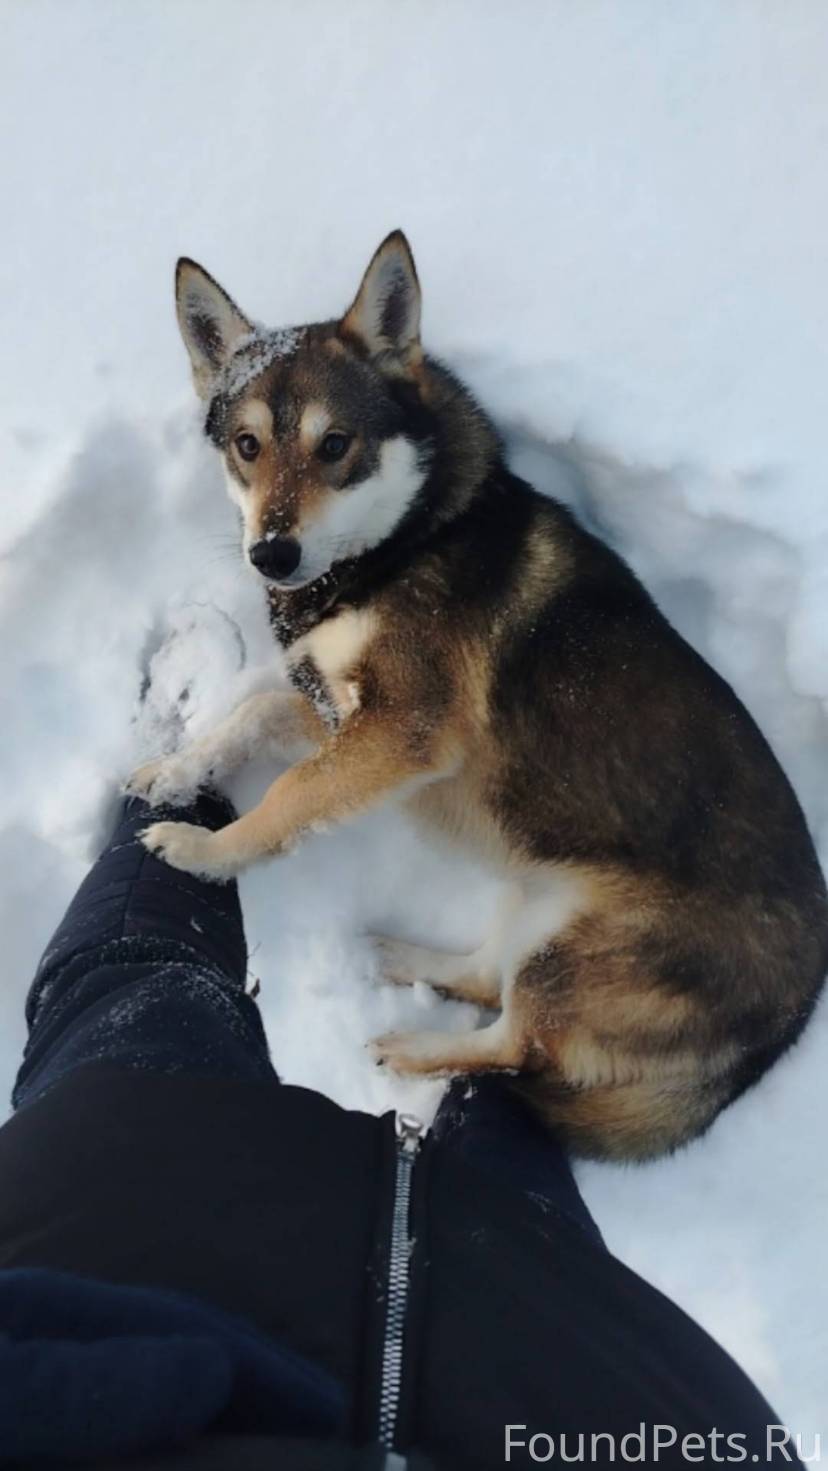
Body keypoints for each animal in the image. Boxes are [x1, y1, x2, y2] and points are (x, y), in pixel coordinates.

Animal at [128, 230, 828, 1161]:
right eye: (247, 445)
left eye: (336, 443)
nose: (271, 555)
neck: (400, 546)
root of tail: (793, 1016)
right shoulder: (337, 715)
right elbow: (248, 717)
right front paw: (175, 771)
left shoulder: (403, 732)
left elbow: (288, 798)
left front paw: (207, 850)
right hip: (536, 906)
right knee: (485, 980)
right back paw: (401, 959)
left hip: (570, 956)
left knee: (517, 1048)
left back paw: (411, 1050)